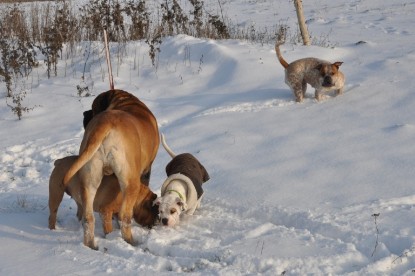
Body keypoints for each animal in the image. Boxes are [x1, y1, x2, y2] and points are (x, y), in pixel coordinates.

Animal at [64, 89, 160, 249]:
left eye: (93, 107)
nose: (85, 113)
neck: (125, 101)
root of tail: (105, 124)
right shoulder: (146, 172)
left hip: (89, 179)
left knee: (88, 218)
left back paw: (90, 245)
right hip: (130, 182)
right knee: (124, 217)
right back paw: (130, 242)